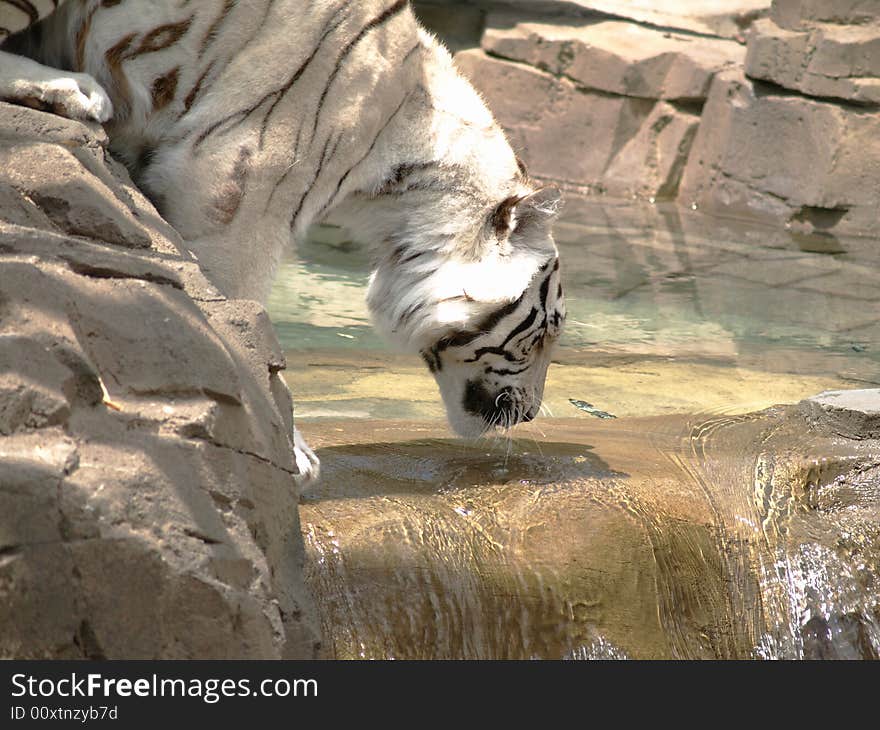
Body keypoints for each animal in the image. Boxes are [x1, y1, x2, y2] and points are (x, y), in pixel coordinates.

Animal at [1, 0, 564, 480]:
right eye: (544, 333)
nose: (531, 414)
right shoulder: (235, 183)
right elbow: (239, 309)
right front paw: (288, 445)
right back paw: (75, 89)